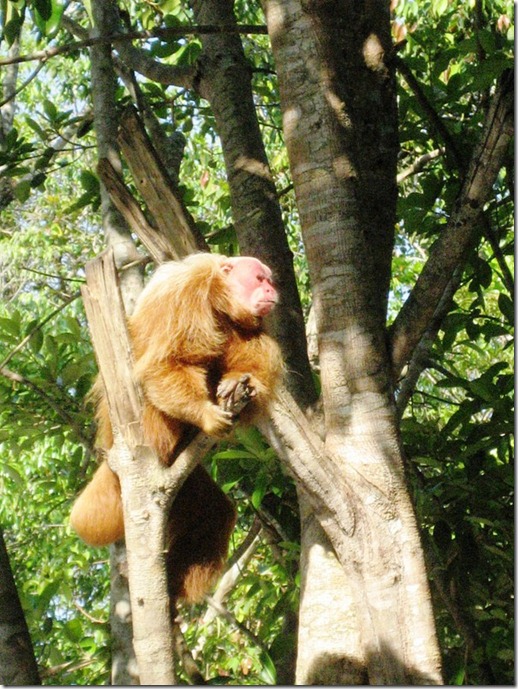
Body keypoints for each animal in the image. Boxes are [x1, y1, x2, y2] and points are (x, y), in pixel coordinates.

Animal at [70, 253, 284, 600]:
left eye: (269, 281)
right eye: (259, 279)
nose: (271, 291)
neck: (219, 301)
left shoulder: (247, 322)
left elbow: (252, 368)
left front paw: (238, 385)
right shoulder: (187, 295)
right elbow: (167, 363)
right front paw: (205, 415)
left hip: (185, 486)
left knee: (213, 513)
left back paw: (171, 587)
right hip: (149, 429)